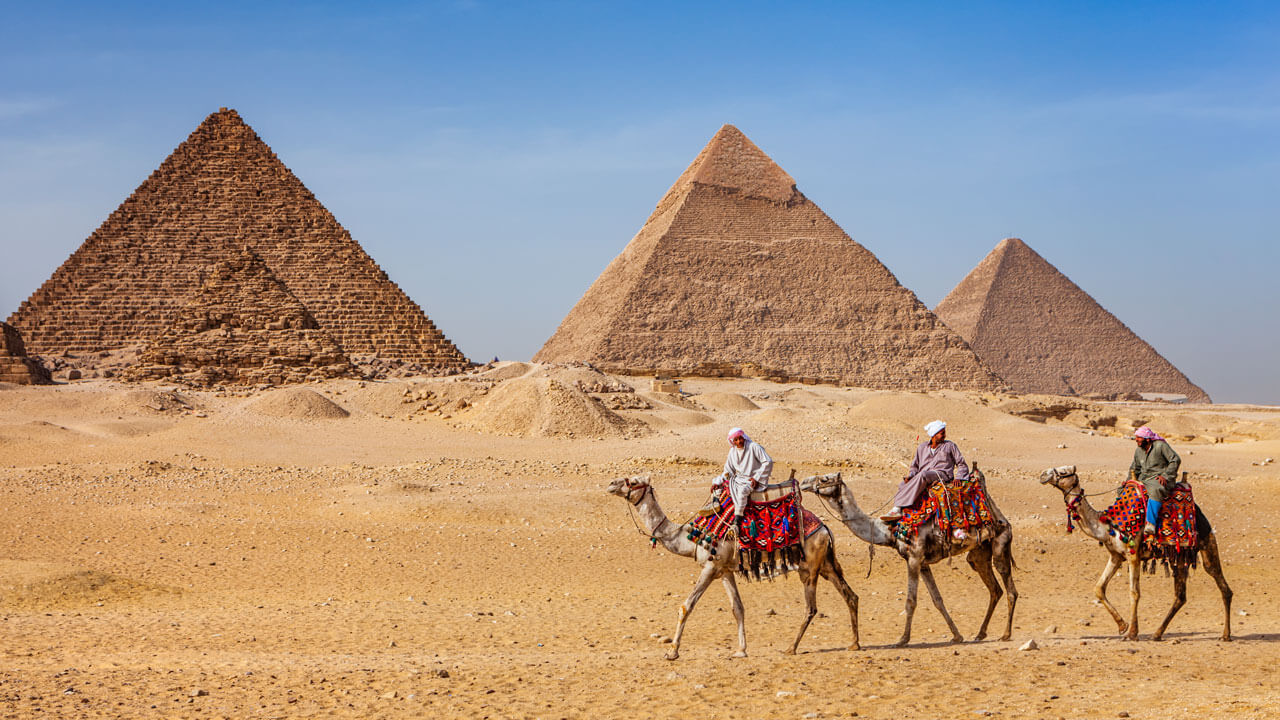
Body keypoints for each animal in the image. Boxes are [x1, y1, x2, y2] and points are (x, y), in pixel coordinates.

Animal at [601, 474, 860, 661]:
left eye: (633, 481)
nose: (612, 484)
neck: (689, 537)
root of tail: (825, 529)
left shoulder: (709, 566)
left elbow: (686, 606)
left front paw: (672, 652)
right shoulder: (724, 570)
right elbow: (738, 608)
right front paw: (741, 650)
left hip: (809, 567)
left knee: (811, 608)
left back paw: (791, 648)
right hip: (825, 564)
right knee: (850, 595)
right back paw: (854, 643)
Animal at [793, 466, 1013, 645]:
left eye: (824, 479)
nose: (804, 482)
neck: (889, 530)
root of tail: (1001, 517)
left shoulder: (914, 558)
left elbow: (911, 600)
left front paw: (903, 639)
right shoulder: (923, 563)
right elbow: (937, 600)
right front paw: (957, 636)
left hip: (1000, 544)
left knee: (1010, 590)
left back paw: (1005, 634)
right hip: (979, 554)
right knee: (995, 590)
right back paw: (980, 634)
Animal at [1039, 466, 1228, 638]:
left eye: (1063, 472)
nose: (1043, 475)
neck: (1108, 525)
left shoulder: (1133, 555)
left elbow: (1134, 593)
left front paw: (1132, 632)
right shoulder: (1116, 556)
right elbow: (1099, 588)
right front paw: (1122, 626)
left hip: (1206, 543)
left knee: (1222, 586)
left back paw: (1225, 635)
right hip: (1179, 558)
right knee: (1181, 596)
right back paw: (1157, 634)